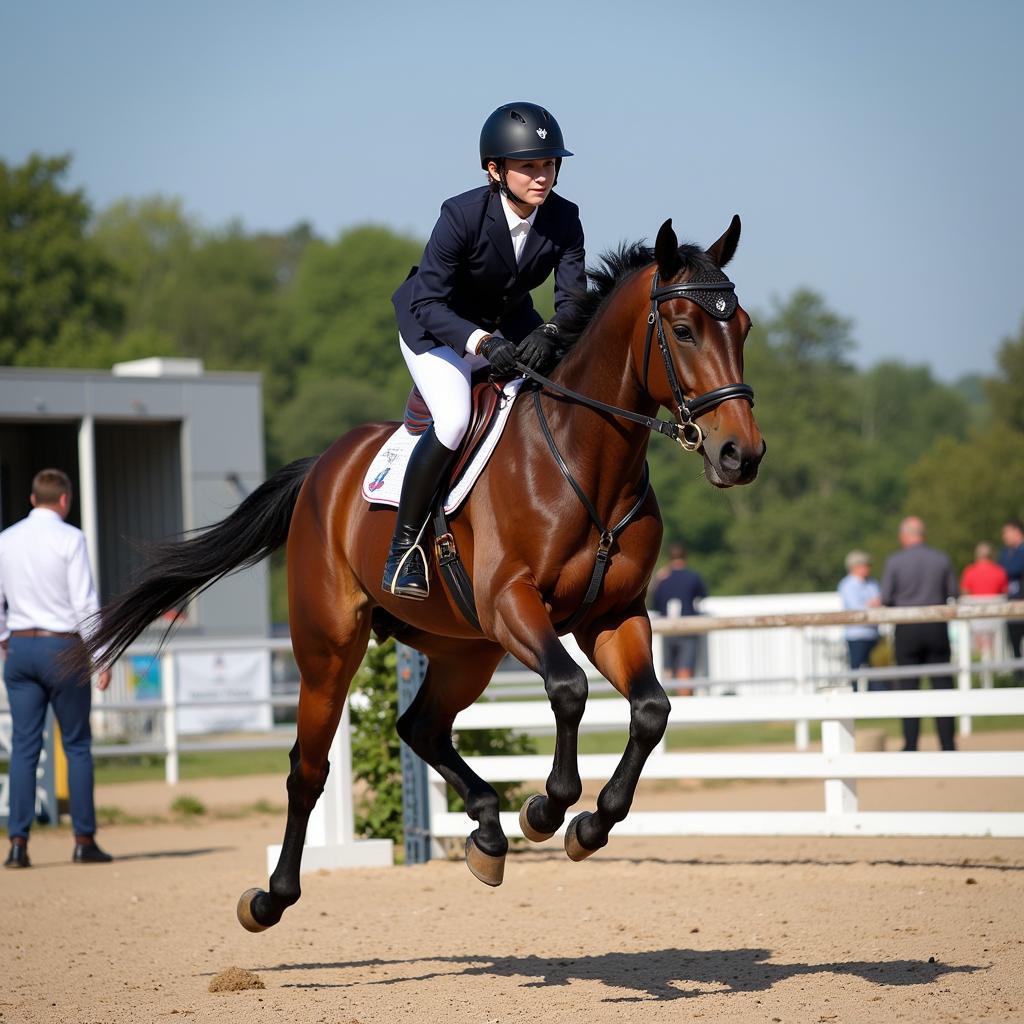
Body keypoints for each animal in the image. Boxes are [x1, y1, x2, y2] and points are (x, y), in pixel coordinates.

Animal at [83, 218, 765, 937]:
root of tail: (321, 469)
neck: (589, 460)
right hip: (332, 647)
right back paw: (272, 897)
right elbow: (569, 689)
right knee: (308, 767)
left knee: (422, 727)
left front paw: (588, 827)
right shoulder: (513, 604)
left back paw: (488, 833)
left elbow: (652, 710)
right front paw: (546, 811)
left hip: (467, 650)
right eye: (684, 329)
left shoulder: (613, 617)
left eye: (743, 326)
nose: (740, 455)